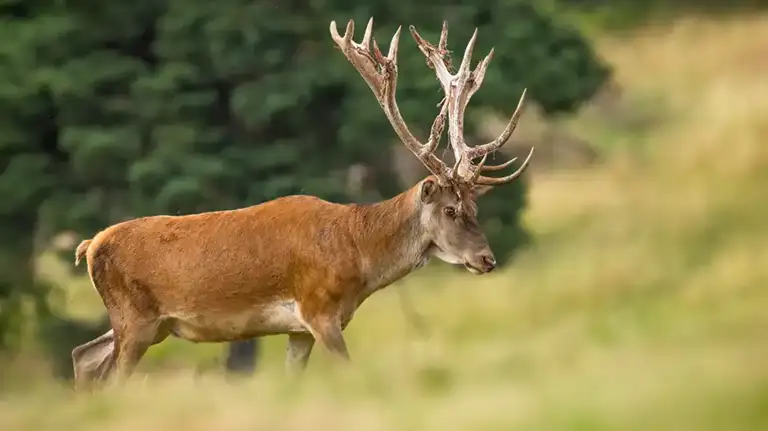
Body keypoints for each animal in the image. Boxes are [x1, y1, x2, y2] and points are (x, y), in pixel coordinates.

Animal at [70, 16, 536, 390]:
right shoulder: (317, 310)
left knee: (83, 355)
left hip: (149, 325)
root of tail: (89, 247)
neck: (357, 255)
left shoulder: (299, 330)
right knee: (109, 374)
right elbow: (349, 369)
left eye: (475, 208)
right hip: (135, 318)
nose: (487, 259)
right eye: (450, 210)